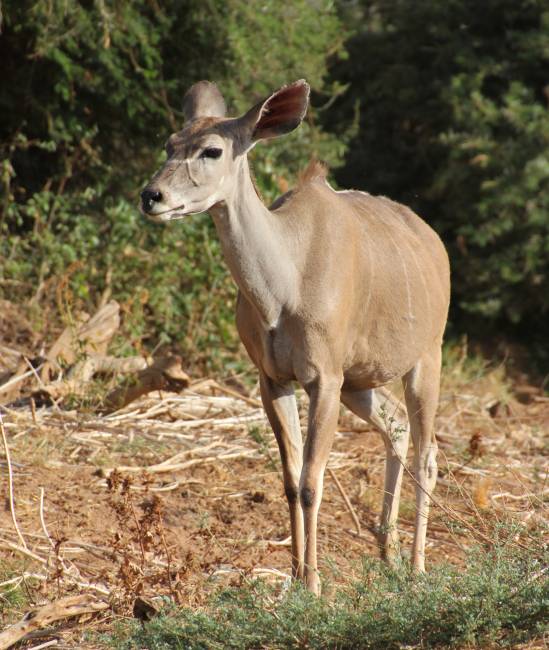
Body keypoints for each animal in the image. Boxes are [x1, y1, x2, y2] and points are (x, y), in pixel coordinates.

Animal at [141, 79, 450, 592]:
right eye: (169, 143)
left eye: (212, 150)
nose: (152, 195)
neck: (283, 286)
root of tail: (435, 245)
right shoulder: (273, 377)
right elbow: (288, 480)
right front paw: (293, 576)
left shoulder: (324, 377)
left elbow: (310, 482)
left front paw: (313, 584)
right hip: (361, 381)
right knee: (396, 426)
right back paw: (386, 555)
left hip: (426, 357)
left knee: (428, 451)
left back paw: (418, 566)